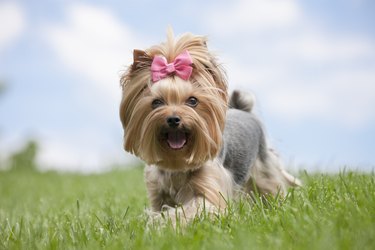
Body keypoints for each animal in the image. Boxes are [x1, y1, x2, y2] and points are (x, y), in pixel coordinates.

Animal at [119, 30, 302, 224]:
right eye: (156, 102)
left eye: (192, 101)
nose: (174, 119)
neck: (177, 164)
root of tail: (243, 110)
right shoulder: (157, 192)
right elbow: (159, 207)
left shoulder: (210, 189)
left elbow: (193, 208)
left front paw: (163, 223)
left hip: (264, 165)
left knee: (270, 186)